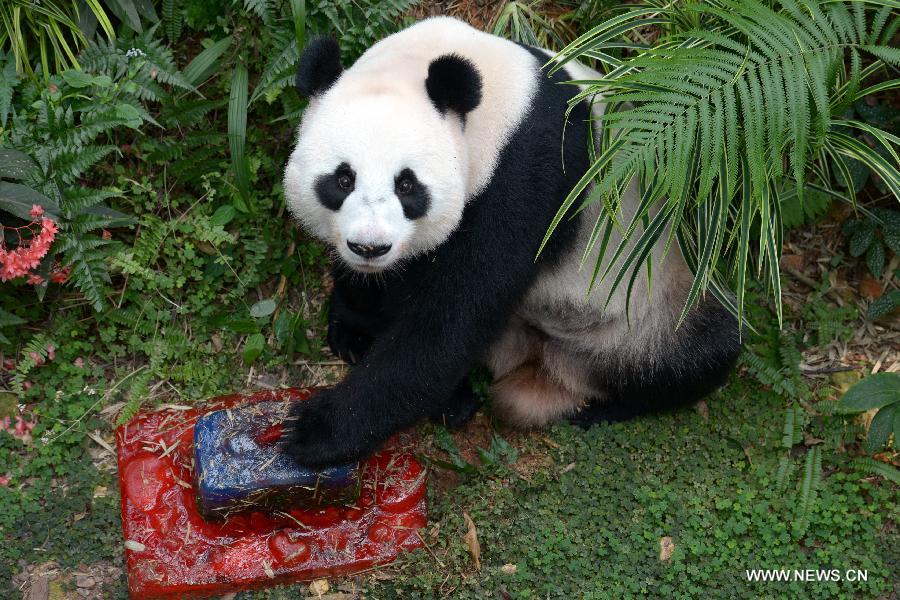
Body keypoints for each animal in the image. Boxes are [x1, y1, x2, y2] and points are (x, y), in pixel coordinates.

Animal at [282, 12, 740, 464]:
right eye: (343, 179)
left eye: (407, 185)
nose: (369, 247)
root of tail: (552, 365)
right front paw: (354, 330)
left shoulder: (530, 170)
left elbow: (458, 313)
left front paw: (316, 430)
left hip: (650, 301)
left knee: (697, 353)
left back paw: (605, 407)